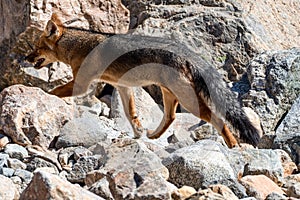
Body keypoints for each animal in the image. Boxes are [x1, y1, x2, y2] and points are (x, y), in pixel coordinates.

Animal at [25, 14, 260, 148]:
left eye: (36, 48)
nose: (25, 58)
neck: (79, 45)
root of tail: (187, 53)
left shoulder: (82, 84)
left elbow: (55, 91)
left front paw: (40, 94)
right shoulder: (123, 87)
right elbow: (131, 114)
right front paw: (137, 132)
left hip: (189, 101)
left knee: (218, 119)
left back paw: (233, 145)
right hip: (171, 95)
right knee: (171, 117)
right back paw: (154, 136)